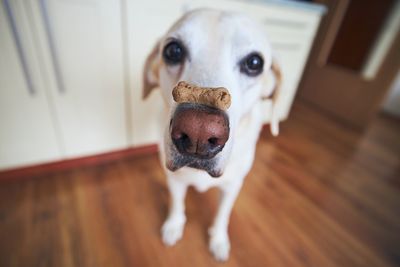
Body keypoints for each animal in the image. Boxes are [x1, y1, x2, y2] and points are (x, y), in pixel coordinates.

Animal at [141, 7, 282, 262]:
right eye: (173, 50)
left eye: (254, 62)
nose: (199, 131)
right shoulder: (174, 179)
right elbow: (177, 204)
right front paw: (174, 225)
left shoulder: (233, 186)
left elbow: (222, 215)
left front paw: (218, 240)